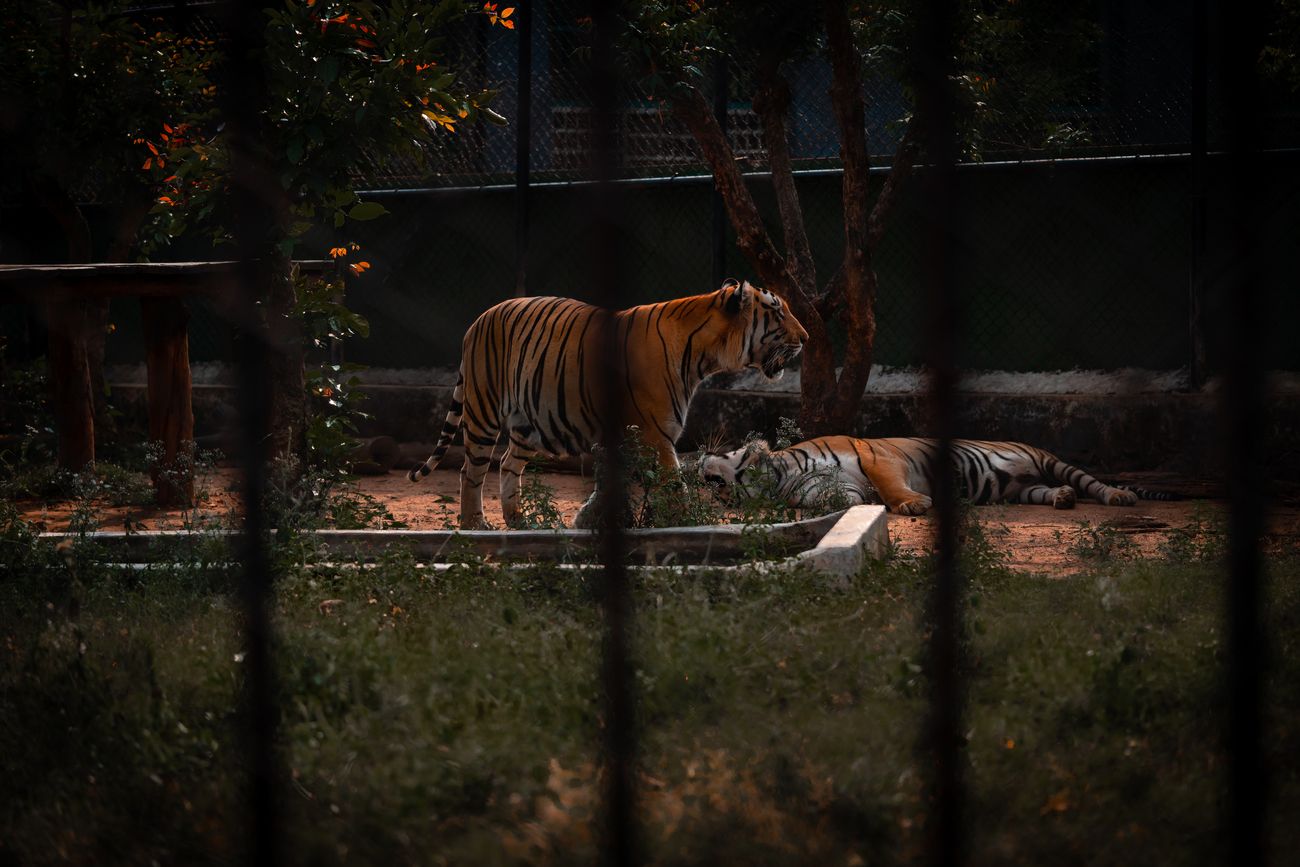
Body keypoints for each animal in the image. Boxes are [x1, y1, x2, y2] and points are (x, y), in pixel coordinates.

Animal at [410, 282, 806, 532]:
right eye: (777, 312)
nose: (805, 338)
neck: (704, 354)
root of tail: (480, 318)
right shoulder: (656, 435)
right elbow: (672, 486)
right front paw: (688, 521)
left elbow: (610, 484)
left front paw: (591, 520)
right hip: (484, 410)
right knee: (471, 471)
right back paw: (475, 524)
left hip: (527, 426)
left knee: (508, 465)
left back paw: (520, 520)